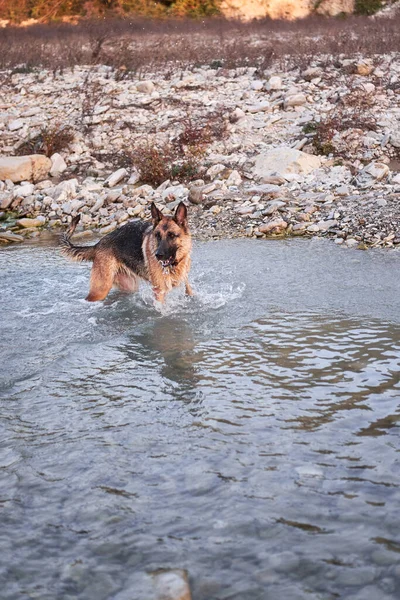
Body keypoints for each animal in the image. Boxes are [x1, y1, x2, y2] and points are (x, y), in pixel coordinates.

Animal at [60, 203, 195, 304]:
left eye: (171, 235)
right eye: (157, 236)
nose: (157, 255)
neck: (175, 264)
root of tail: (97, 245)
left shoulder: (184, 280)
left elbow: (189, 291)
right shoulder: (159, 291)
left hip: (128, 286)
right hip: (100, 290)